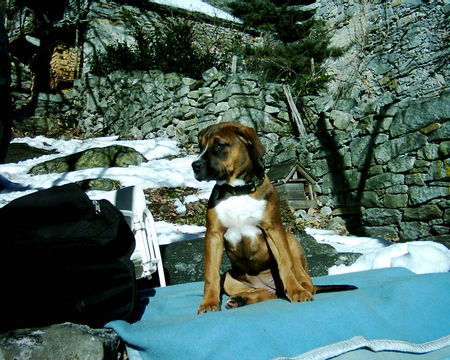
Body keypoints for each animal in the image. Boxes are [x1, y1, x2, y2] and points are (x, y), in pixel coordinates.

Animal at [192, 121, 354, 312]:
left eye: (219, 145)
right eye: (201, 146)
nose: (194, 165)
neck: (237, 191)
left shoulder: (273, 229)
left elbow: (285, 263)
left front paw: (296, 291)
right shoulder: (214, 235)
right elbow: (211, 274)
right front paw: (209, 302)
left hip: (290, 239)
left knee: (304, 281)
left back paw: (300, 290)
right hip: (231, 278)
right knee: (266, 293)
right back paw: (240, 299)